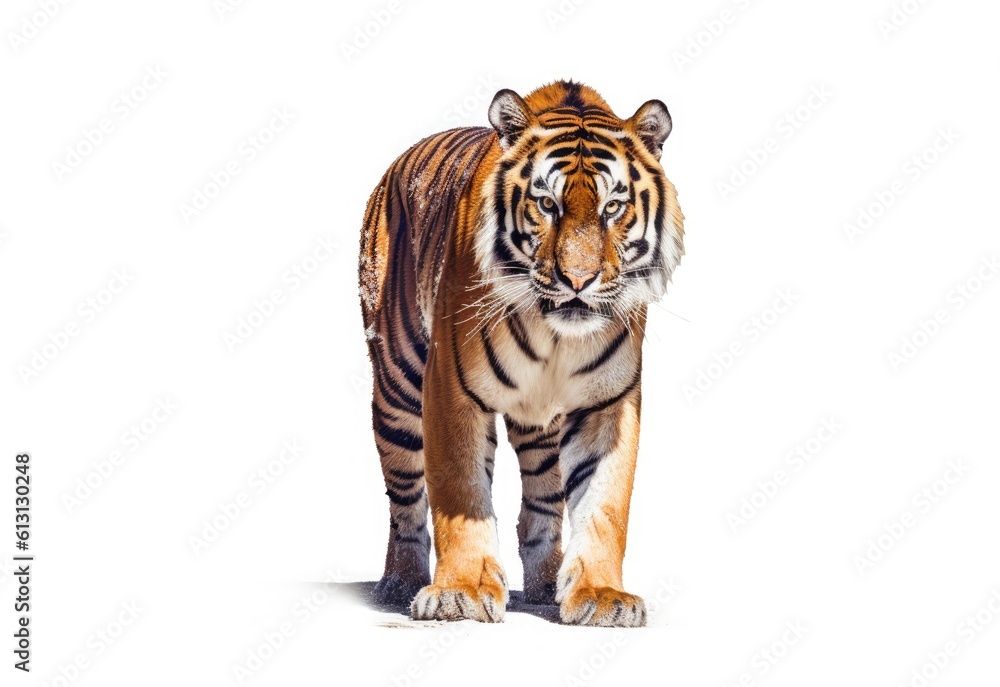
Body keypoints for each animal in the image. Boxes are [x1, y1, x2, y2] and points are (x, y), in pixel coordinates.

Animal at [358, 80, 684, 627]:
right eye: (547, 204)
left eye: (612, 208)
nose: (578, 280)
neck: (556, 336)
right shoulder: (450, 391)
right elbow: (459, 491)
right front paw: (460, 592)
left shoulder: (607, 404)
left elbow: (605, 504)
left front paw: (602, 595)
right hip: (397, 386)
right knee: (404, 497)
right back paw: (399, 582)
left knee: (542, 503)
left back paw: (545, 586)